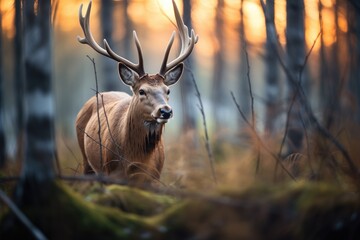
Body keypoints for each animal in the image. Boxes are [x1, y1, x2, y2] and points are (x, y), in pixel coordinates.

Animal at [75, 0, 198, 184]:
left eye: (168, 90)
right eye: (142, 91)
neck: (136, 160)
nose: (165, 111)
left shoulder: (155, 177)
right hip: (86, 158)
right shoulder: (111, 173)